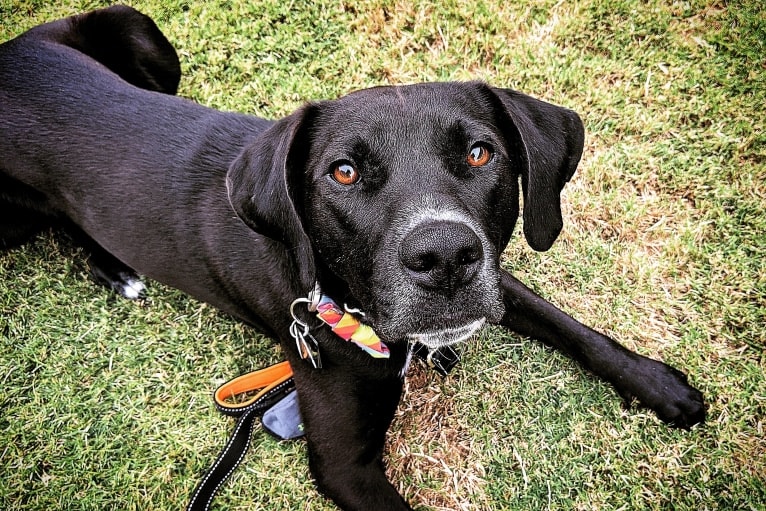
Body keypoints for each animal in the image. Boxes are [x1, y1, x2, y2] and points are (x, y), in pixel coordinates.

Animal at [0, 5, 708, 511]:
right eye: (343, 172)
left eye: (480, 153)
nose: (445, 256)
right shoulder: (344, 466)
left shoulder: (492, 275)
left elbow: (574, 328)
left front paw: (659, 384)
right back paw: (114, 267)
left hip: (138, 31)